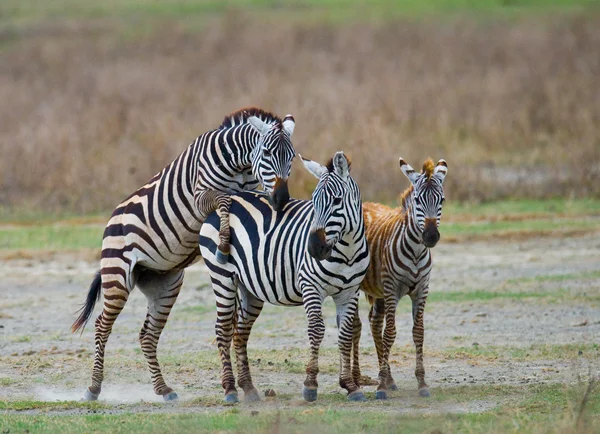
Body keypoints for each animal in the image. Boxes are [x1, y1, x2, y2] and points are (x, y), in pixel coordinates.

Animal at [69, 107, 296, 402]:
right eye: (267, 153)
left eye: (292, 157)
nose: (281, 199)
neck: (240, 166)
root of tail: (112, 218)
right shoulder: (201, 196)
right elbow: (224, 200)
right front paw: (224, 241)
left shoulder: (250, 192)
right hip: (117, 276)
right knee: (102, 326)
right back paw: (93, 388)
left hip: (165, 284)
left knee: (147, 335)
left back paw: (163, 389)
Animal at [198, 152, 370, 404]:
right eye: (314, 201)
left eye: (337, 201)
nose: (313, 248)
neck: (347, 249)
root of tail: (229, 198)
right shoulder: (310, 286)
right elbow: (316, 330)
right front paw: (310, 385)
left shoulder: (350, 292)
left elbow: (346, 334)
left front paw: (350, 385)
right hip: (222, 277)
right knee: (223, 329)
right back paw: (229, 389)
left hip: (250, 287)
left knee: (240, 333)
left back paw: (248, 388)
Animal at [350, 156, 448, 400]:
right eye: (418, 200)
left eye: (441, 200)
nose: (431, 236)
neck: (415, 251)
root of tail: (364, 204)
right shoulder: (392, 289)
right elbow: (391, 333)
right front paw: (380, 387)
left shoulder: (422, 289)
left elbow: (418, 332)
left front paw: (421, 383)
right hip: (356, 286)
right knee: (356, 326)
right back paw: (357, 379)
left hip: (378, 291)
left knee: (374, 323)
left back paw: (389, 378)